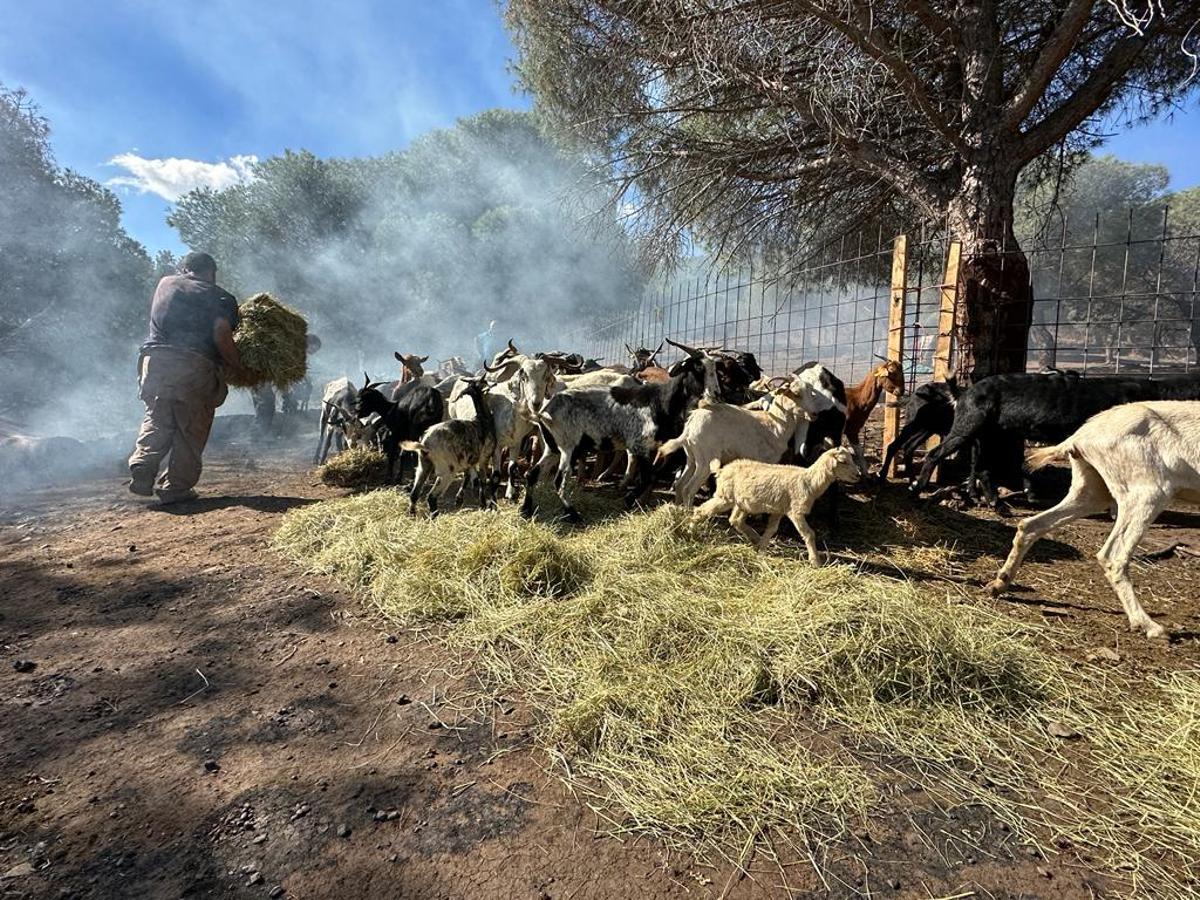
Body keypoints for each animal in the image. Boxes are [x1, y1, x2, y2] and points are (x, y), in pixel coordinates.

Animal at [696, 448, 864, 566]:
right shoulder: (795, 511)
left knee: (735, 520)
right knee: (701, 510)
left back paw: (755, 538)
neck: (809, 481)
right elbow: (809, 534)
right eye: (843, 462)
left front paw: (762, 549)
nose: (858, 475)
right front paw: (815, 561)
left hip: (742, 502)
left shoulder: (779, 510)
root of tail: (721, 470)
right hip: (725, 497)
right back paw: (692, 529)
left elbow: (771, 529)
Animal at [984, 400, 1200, 643]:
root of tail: (1080, 436)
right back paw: (1149, 626)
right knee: (1113, 556)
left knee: (1030, 525)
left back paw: (999, 583)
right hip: (1147, 493)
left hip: (1092, 491)